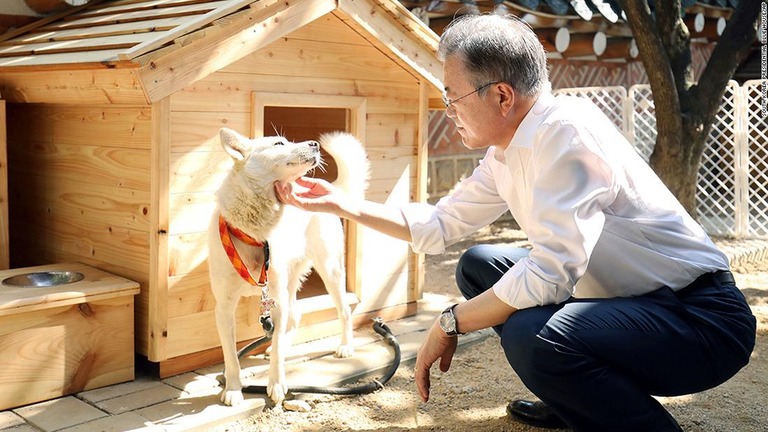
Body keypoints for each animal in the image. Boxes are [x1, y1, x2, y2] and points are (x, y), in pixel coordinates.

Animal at [207, 126, 368, 406]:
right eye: (279, 143)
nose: (315, 144)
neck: (255, 233)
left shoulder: (276, 300)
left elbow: (279, 349)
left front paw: (277, 384)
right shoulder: (224, 308)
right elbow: (230, 356)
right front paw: (233, 389)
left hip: (329, 270)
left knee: (344, 309)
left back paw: (345, 346)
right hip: (292, 279)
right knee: (295, 316)